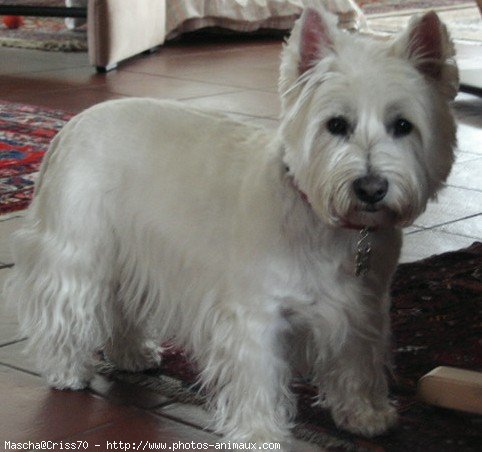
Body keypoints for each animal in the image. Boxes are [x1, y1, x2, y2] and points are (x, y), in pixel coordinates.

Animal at [7, 5, 460, 446]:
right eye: (336, 124)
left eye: (403, 125)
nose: (370, 188)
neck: (320, 221)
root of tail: (72, 124)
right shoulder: (254, 315)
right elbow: (257, 377)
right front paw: (260, 433)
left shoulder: (362, 306)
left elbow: (357, 362)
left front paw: (365, 415)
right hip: (80, 244)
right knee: (66, 303)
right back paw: (66, 370)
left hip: (128, 255)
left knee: (120, 305)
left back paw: (132, 354)